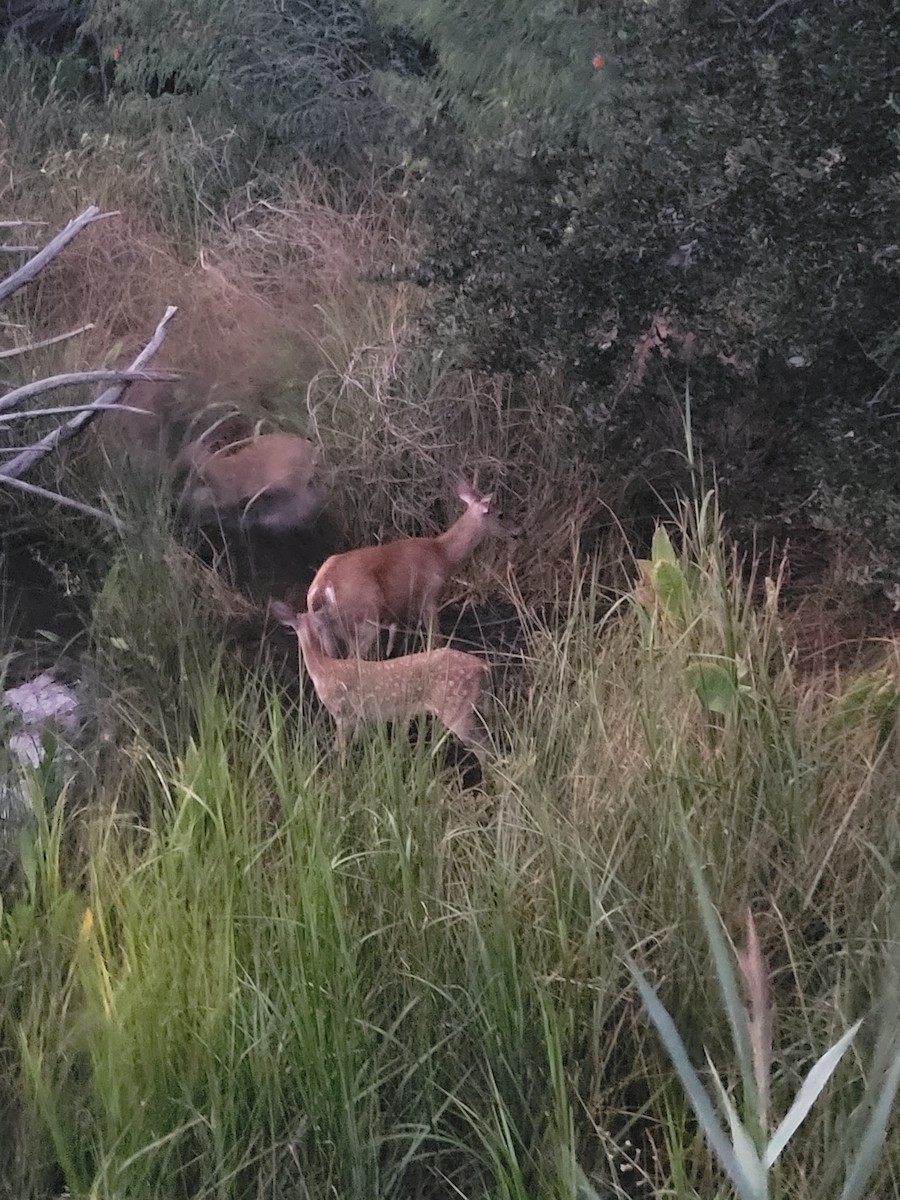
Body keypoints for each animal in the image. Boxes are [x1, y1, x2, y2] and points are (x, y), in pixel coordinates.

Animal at [271, 601, 491, 760]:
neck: (323, 668)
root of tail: (482, 665)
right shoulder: (359, 716)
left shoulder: (342, 711)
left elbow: (339, 748)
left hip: (455, 706)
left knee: (483, 747)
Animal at [305, 480, 506, 659]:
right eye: (500, 514)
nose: (512, 532)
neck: (442, 554)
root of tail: (321, 588)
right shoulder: (429, 597)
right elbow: (436, 640)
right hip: (365, 618)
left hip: (327, 633)